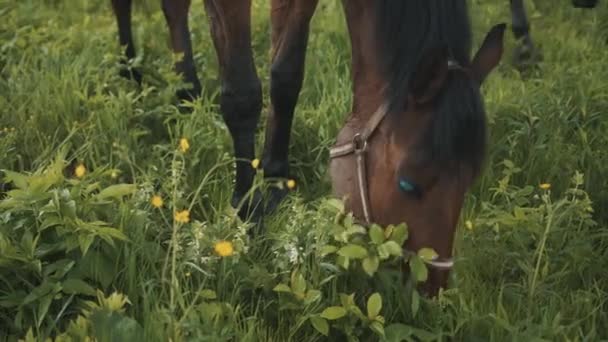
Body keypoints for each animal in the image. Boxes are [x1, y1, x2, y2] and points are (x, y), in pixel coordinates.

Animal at [111, 0, 506, 296]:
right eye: (408, 184)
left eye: (469, 181)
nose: (432, 287)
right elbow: (242, 94)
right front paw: (246, 207)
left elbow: (286, 75)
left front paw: (274, 180)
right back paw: (129, 70)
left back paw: (185, 91)